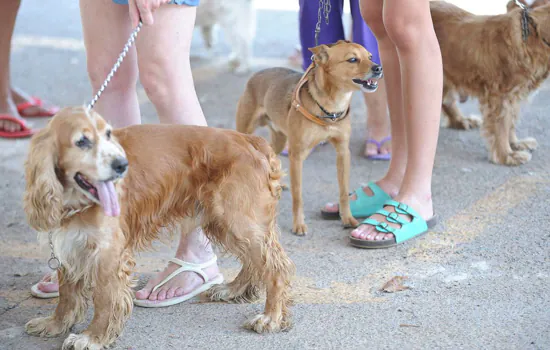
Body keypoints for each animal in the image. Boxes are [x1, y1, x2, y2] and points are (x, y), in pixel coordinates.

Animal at [23, 107, 298, 350]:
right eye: (81, 141)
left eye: (108, 134)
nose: (122, 165)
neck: (75, 200)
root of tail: (251, 140)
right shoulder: (70, 244)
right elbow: (67, 295)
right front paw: (54, 324)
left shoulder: (108, 253)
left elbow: (104, 299)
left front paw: (93, 337)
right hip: (225, 222)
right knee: (255, 261)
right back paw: (233, 289)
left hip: (237, 219)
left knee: (276, 267)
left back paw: (271, 317)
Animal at [234, 40, 384, 235]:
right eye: (352, 59)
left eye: (370, 56)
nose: (378, 67)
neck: (331, 107)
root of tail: (256, 74)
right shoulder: (297, 156)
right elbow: (298, 196)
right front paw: (298, 224)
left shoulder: (343, 152)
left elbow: (343, 191)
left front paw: (347, 218)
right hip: (246, 131)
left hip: (280, 139)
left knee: (272, 156)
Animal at [436, 1, 550, 165]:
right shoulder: (499, 96)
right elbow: (501, 126)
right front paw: (507, 155)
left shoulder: (513, 95)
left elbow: (511, 122)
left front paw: (515, 144)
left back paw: (461, 120)